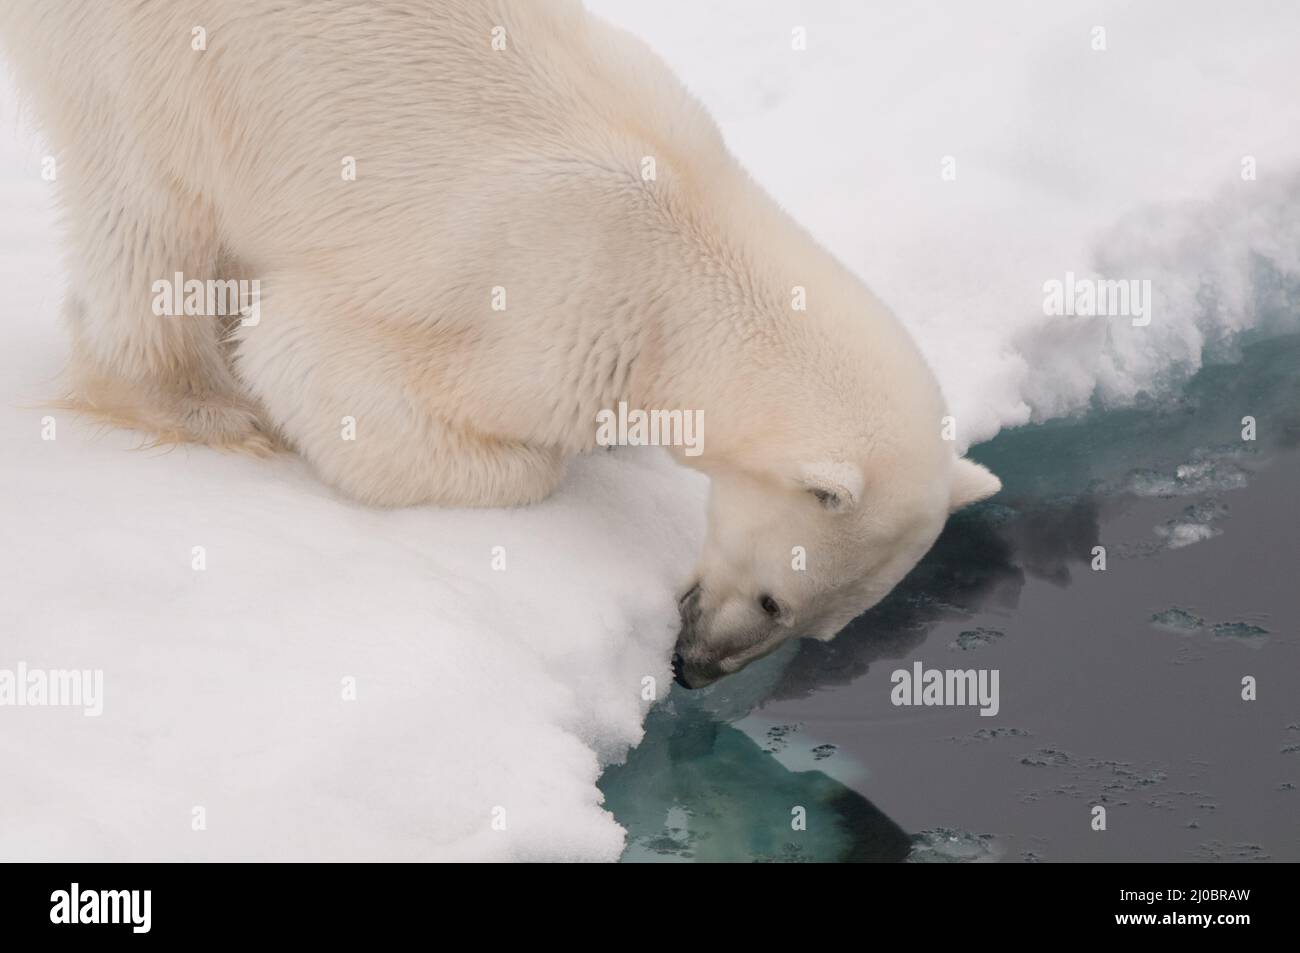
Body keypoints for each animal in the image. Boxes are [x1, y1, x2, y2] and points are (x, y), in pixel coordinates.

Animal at [0, 0, 998, 686]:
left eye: (819, 627)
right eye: (774, 596)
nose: (693, 670)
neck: (687, 239)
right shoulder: (542, 296)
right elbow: (323, 366)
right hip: (154, 58)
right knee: (150, 203)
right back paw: (201, 404)